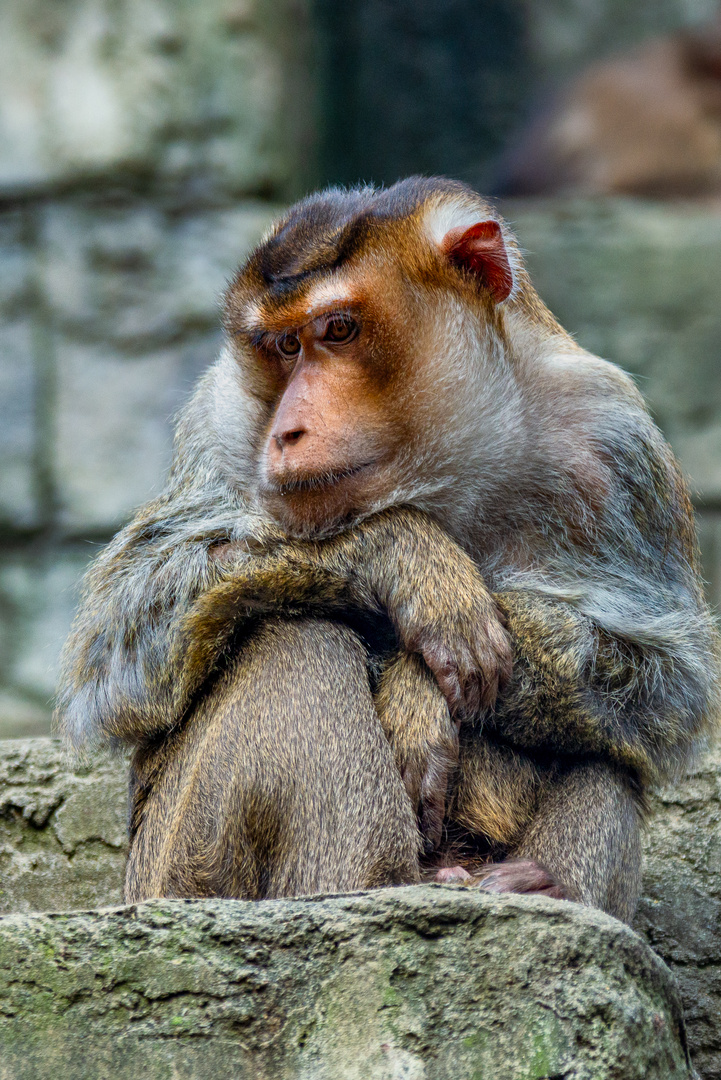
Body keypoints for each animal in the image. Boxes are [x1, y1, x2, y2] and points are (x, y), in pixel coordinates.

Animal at [56, 174, 721, 920]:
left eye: (338, 330)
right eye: (283, 347)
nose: (286, 430)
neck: (445, 465)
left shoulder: (615, 439)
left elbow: (668, 684)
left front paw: (417, 685)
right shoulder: (220, 415)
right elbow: (120, 639)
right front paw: (406, 559)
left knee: (605, 741)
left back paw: (535, 884)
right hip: (172, 869)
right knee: (294, 637)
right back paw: (363, 887)